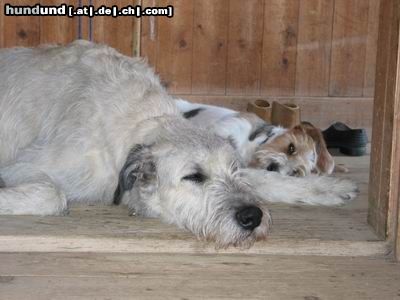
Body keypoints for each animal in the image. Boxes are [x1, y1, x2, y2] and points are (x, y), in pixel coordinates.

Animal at [0, 41, 356, 247]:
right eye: (194, 177)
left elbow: (265, 178)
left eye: (233, 172)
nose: (252, 217)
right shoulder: (26, 166)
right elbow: (52, 194)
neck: (142, 124)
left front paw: (328, 187)